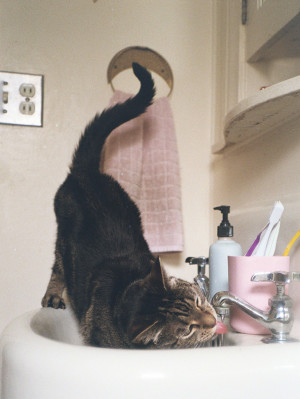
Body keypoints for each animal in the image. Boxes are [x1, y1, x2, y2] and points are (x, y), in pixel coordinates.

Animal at [41, 61, 216, 346]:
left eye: (199, 301)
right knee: (58, 267)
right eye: (188, 328)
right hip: (63, 238)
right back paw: (53, 295)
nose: (214, 320)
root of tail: (87, 171)